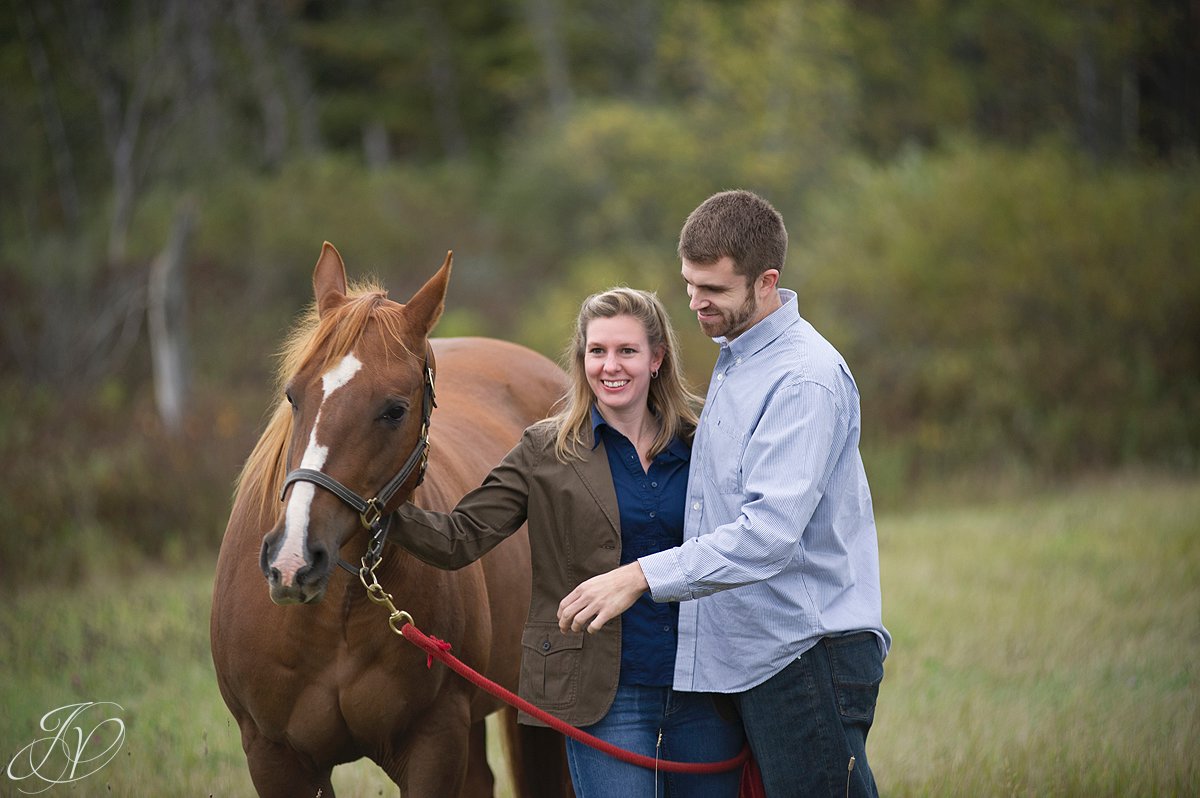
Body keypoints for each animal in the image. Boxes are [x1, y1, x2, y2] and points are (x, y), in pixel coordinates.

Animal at [208, 244, 573, 796]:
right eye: (293, 396)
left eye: (395, 410)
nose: (293, 560)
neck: (332, 619)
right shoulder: (274, 757)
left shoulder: (434, 743)